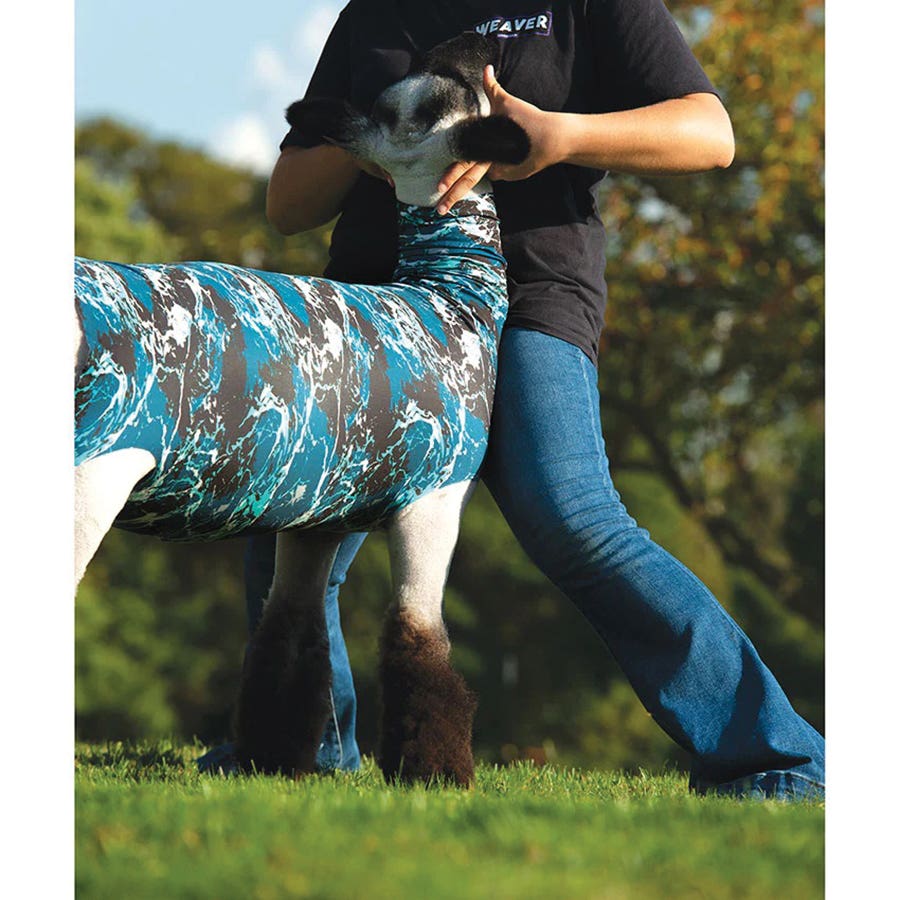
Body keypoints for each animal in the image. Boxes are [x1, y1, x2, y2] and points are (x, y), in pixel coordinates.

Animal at [74, 32, 529, 786]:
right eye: (446, 90)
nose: (477, 40)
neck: (451, 297)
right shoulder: (437, 499)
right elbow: (419, 642)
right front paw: (437, 773)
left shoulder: (316, 514)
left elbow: (288, 639)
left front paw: (272, 760)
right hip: (95, 470)